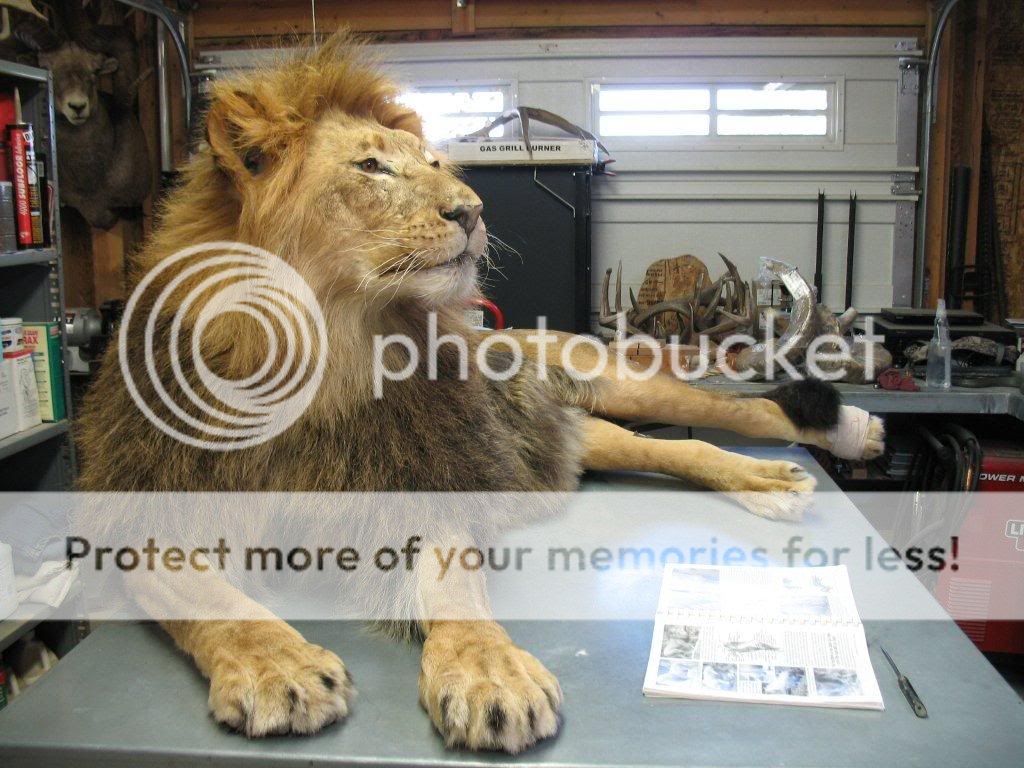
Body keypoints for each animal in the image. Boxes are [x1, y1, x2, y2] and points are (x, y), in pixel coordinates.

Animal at [75, 34, 884, 753]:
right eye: (373, 166)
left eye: (437, 165)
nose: (472, 210)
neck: (329, 352)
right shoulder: (146, 502)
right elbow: (200, 593)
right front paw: (280, 667)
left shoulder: (428, 472)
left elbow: (452, 583)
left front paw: (489, 673)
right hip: (576, 433)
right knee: (669, 451)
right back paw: (764, 479)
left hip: (616, 385)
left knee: (742, 411)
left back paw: (841, 438)